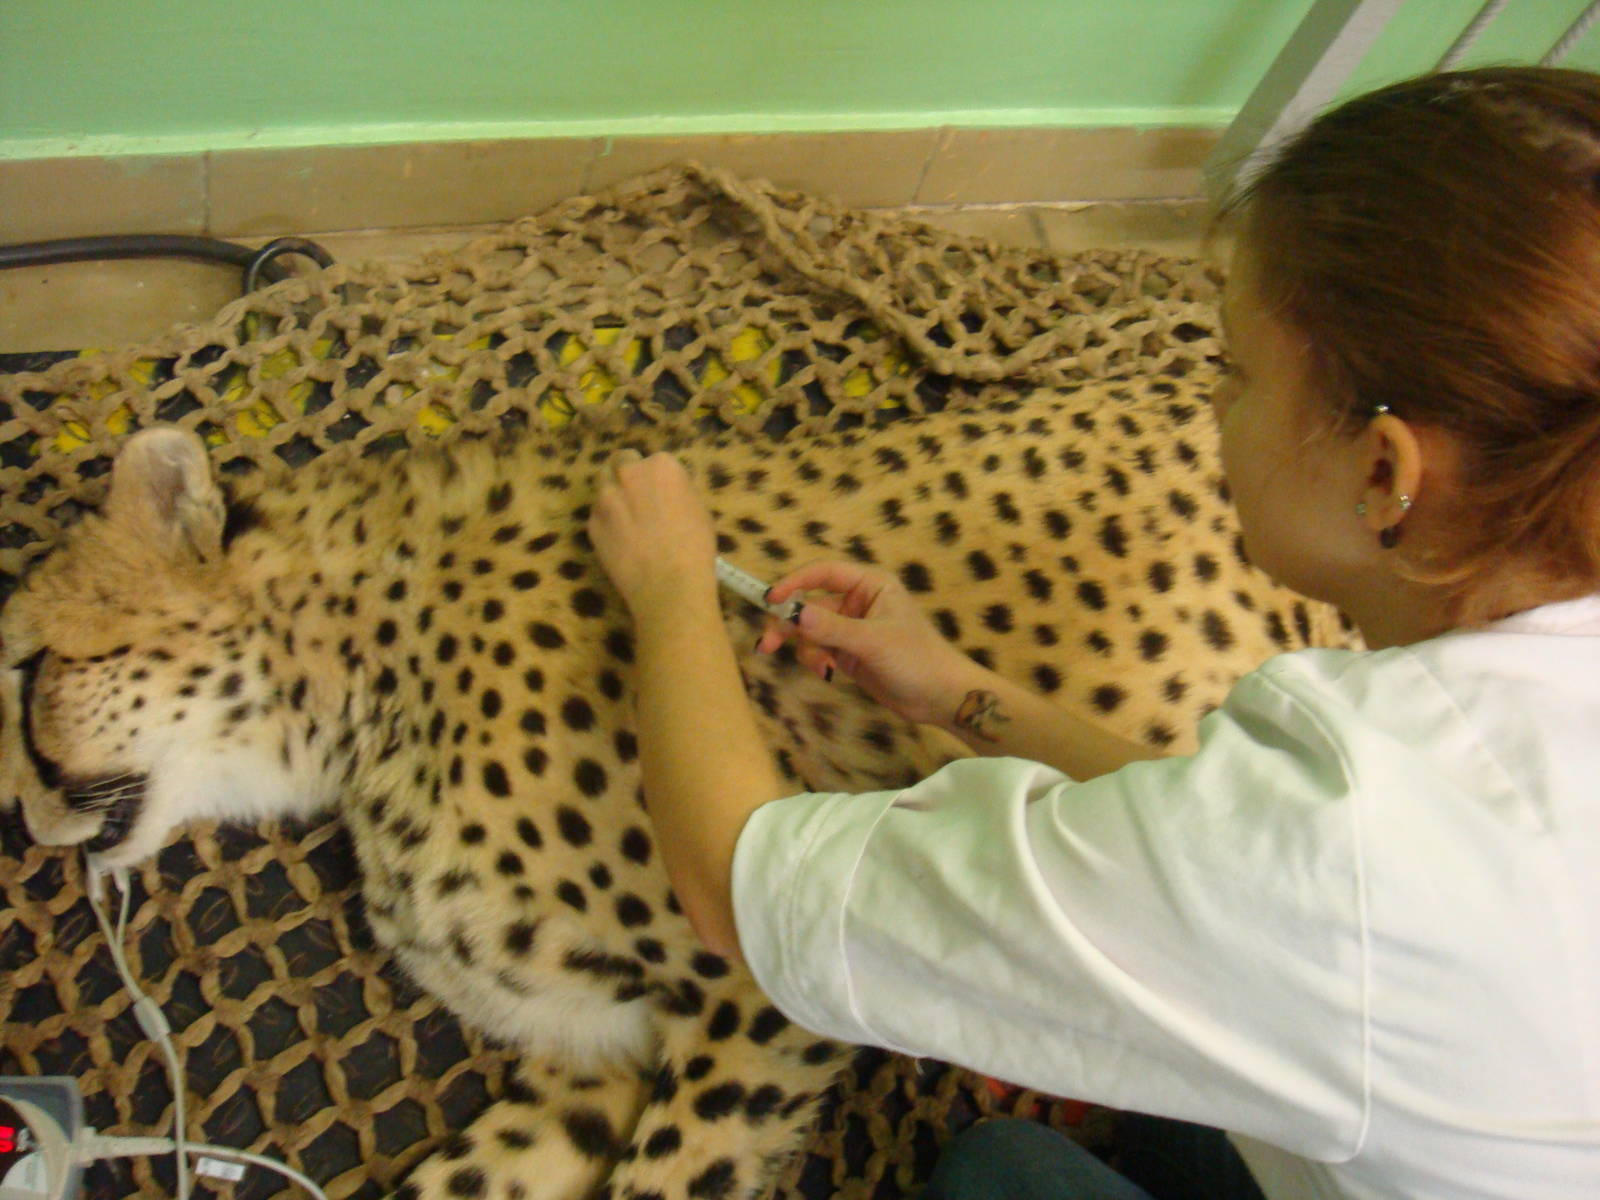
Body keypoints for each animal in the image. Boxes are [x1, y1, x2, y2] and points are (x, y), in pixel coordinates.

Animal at [0, 374, 1352, 1200]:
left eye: (29, 668)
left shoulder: (761, 974)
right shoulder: (584, 1049)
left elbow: (677, 1170)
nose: (25, 816)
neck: (364, 667)